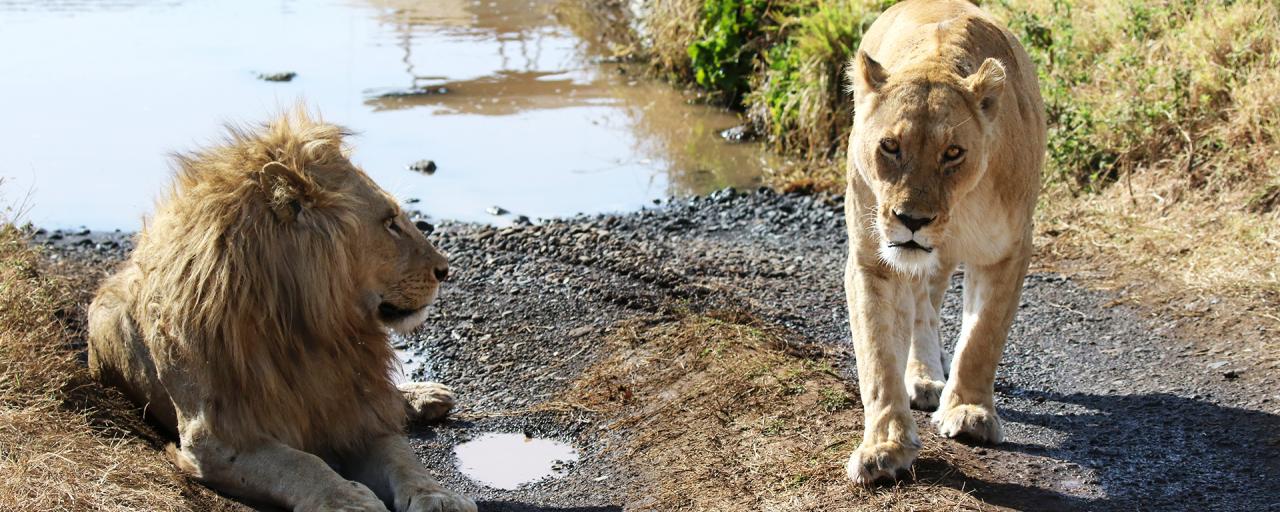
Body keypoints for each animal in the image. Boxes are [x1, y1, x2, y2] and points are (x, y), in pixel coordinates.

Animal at [87, 110, 481, 509]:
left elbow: (403, 459)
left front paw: (437, 496)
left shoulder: (357, 410)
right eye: (389, 223)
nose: (445, 269)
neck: (311, 330)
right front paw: (346, 499)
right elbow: (300, 464)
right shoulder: (215, 438)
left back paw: (425, 396)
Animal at [844, 0, 1044, 483]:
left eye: (953, 153)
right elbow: (877, 358)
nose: (912, 220)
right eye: (890, 146)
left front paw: (970, 413)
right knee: (921, 310)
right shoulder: (871, 259)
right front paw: (884, 447)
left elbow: (982, 337)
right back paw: (921, 379)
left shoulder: (1009, 250)